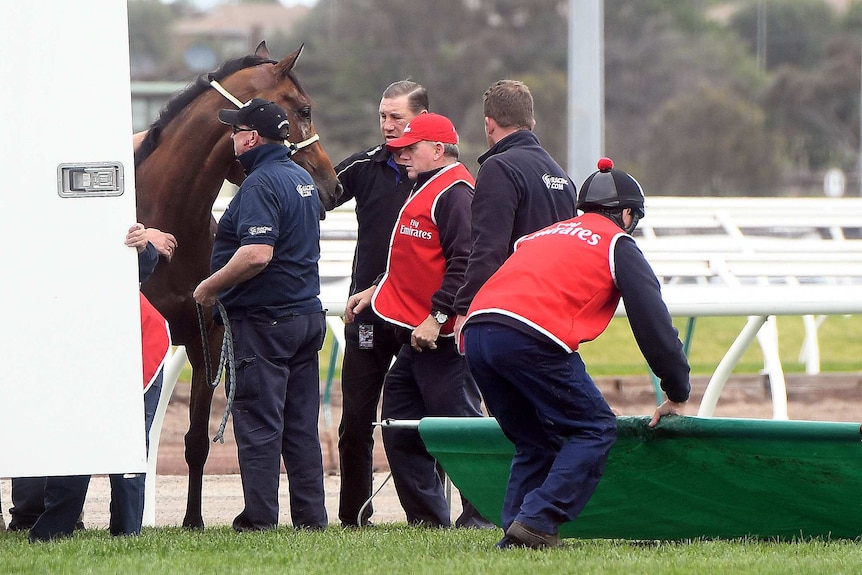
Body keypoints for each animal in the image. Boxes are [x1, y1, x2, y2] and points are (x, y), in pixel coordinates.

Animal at [135, 42, 340, 528]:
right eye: (304, 109)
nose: (333, 187)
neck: (167, 215)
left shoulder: (204, 337)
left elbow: (195, 440)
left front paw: (193, 520)